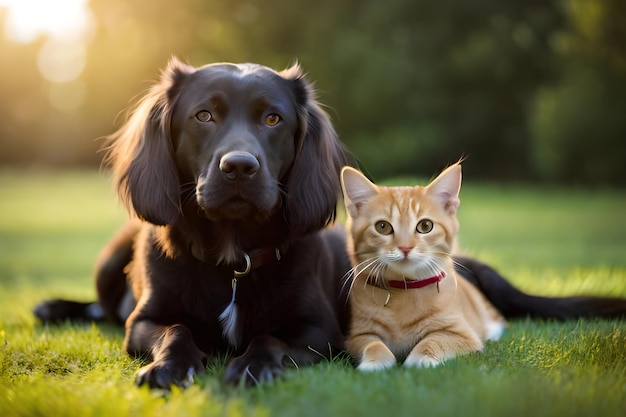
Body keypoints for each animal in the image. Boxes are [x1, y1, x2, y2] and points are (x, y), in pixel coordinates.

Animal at [338, 163, 504, 370]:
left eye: (425, 226)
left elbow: (433, 341)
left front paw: (420, 359)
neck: (404, 290)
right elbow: (373, 345)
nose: (405, 247)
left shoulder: (462, 334)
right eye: (382, 226)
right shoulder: (357, 336)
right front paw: (374, 362)